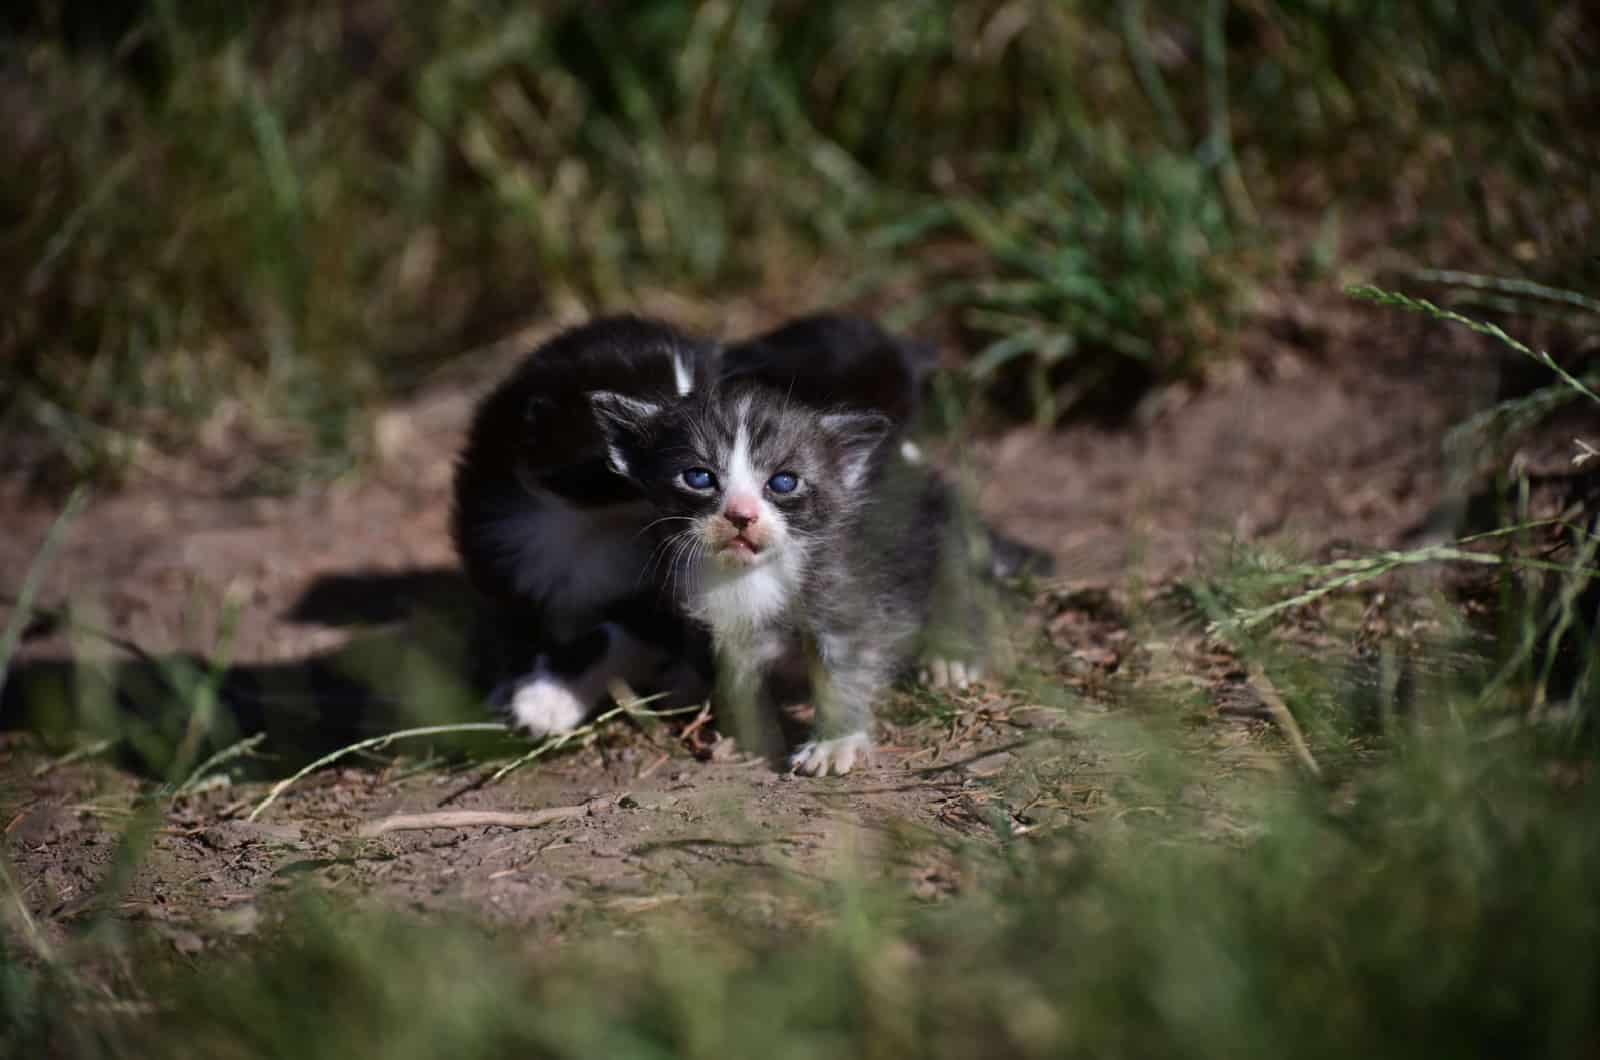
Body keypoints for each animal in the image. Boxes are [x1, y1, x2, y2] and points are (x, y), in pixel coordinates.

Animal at [592, 377, 953, 778]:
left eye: (783, 482)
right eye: (699, 477)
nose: (741, 515)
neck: (750, 574)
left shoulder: (844, 593)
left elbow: (844, 667)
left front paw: (834, 742)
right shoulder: (724, 626)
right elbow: (739, 682)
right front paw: (749, 739)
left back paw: (951, 657)